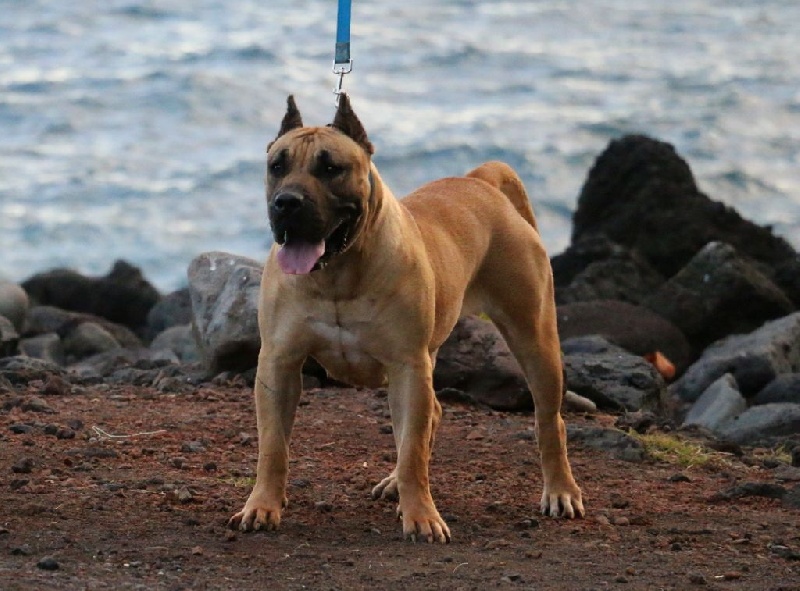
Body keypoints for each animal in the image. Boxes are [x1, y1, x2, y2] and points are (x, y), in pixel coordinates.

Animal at [228, 95, 584, 544]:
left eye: (331, 168)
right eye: (277, 165)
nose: (287, 202)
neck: (336, 274)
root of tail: (481, 182)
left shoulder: (407, 364)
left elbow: (413, 449)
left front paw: (421, 516)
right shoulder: (279, 363)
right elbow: (273, 445)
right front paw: (262, 505)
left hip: (533, 338)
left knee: (549, 420)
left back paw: (560, 490)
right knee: (431, 415)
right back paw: (395, 481)